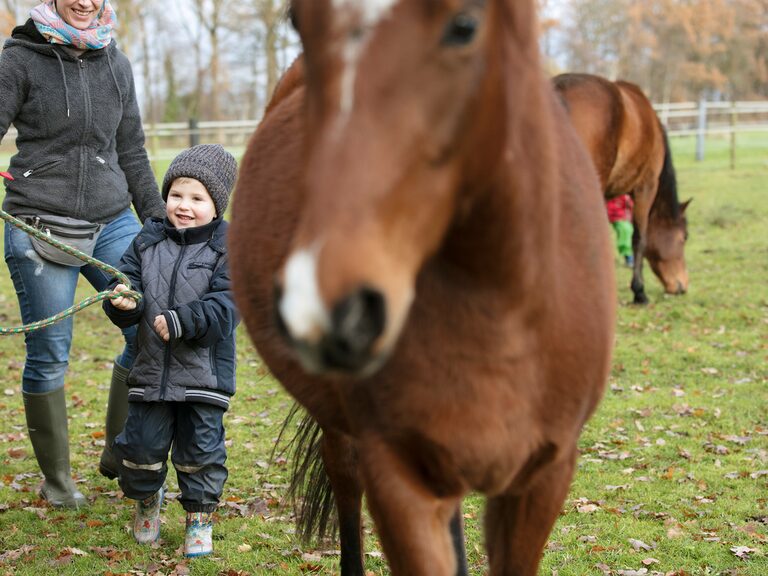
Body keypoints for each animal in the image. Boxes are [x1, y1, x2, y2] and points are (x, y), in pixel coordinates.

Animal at [229, 2, 616, 574]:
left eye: (465, 24)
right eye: (299, 21)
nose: (325, 308)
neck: (502, 312)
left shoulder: (542, 477)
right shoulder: (398, 480)